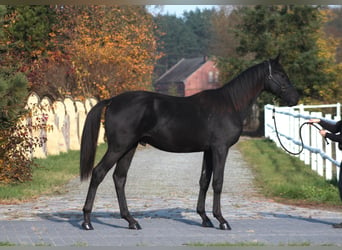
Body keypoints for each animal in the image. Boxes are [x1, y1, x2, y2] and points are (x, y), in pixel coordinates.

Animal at [80, 56, 300, 230]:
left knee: (119, 178)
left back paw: (131, 221)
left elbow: (204, 181)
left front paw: (205, 218)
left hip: (129, 148)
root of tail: (112, 101)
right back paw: (87, 221)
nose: (295, 98)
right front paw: (221, 220)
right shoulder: (220, 149)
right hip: (118, 147)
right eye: (280, 74)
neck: (230, 104)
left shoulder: (208, 151)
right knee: (98, 173)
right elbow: (218, 182)